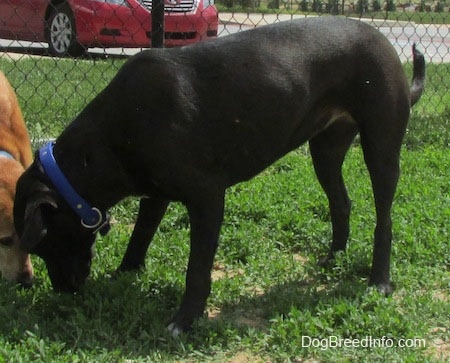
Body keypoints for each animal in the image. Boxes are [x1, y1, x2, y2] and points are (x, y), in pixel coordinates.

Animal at [12, 17, 424, 336]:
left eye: (43, 243)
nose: (64, 291)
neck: (109, 138)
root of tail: (383, 40)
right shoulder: (155, 192)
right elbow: (140, 236)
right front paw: (125, 272)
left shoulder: (207, 196)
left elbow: (196, 268)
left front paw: (184, 320)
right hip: (325, 151)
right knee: (341, 202)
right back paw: (333, 256)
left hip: (381, 145)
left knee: (384, 218)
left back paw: (379, 280)